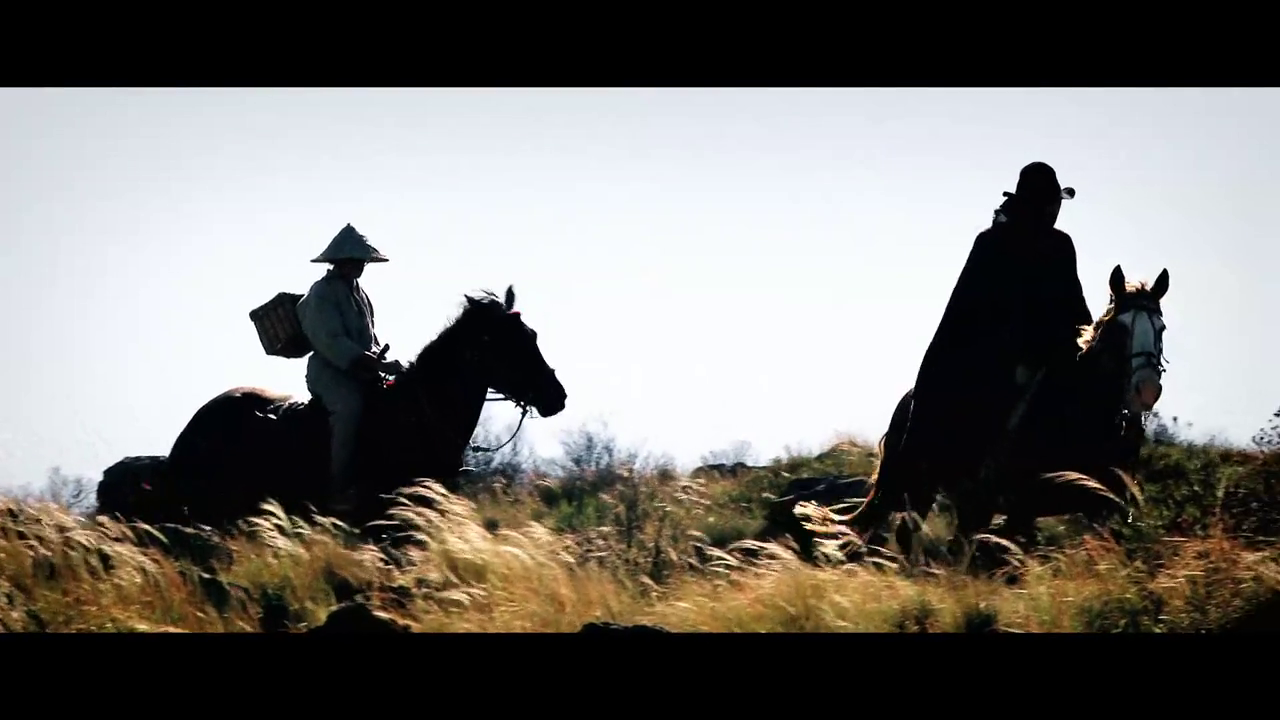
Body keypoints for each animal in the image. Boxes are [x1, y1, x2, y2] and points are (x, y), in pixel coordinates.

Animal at [847, 264, 1171, 556]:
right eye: (1120, 329)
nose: (1147, 389)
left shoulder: (1094, 500)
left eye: (1161, 328)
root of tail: (909, 399)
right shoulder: (1017, 499)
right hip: (917, 483)